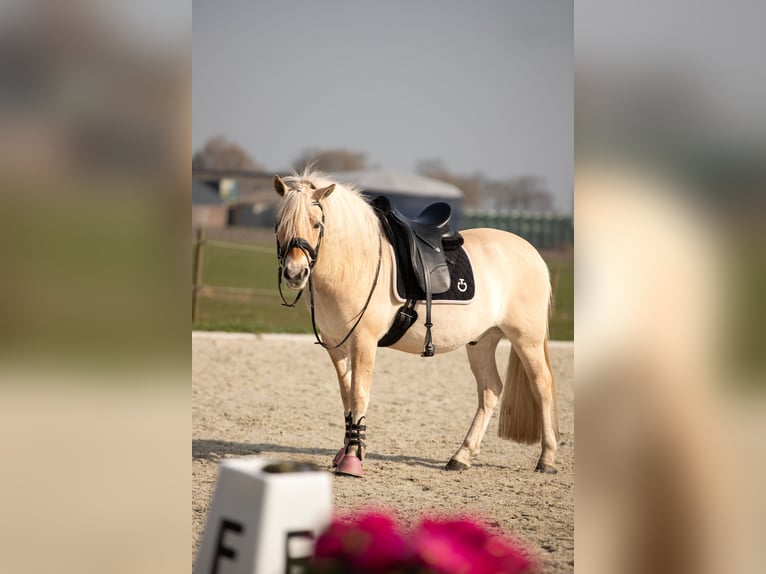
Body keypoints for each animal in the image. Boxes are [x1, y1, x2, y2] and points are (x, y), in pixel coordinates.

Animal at [273, 170, 559, 477]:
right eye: (279, 224)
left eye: (316, 223)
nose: (295, 273)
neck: (356, 262)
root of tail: (531, 252)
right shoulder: (336, 346)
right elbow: (346, 395)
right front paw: (348, 450)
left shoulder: (363, 342)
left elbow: (359, 394)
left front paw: (352, 458)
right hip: (482, 341)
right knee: (490, 390)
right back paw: (461, 456)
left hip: (526, 339)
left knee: (542, 386)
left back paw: (547, 459)